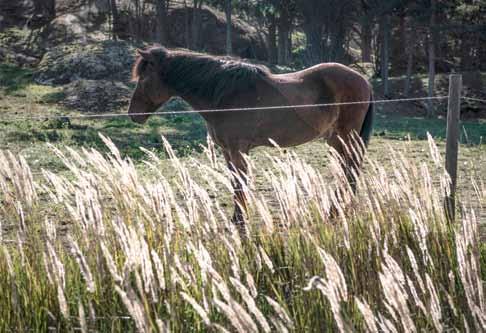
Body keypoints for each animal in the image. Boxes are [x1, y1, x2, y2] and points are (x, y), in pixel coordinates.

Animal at [127, 46, 374, 226]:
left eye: (144, 79)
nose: (133, 114)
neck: (223, 94)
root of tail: (362, 80)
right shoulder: (228, 151)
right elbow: (235, 183)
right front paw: (237, 217)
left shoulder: (238, 149)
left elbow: (240, 183)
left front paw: (240, 220)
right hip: (336, 139)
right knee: (345, 171)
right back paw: (335, 210)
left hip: (347, 137)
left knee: (350, 170)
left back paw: (340, 211)